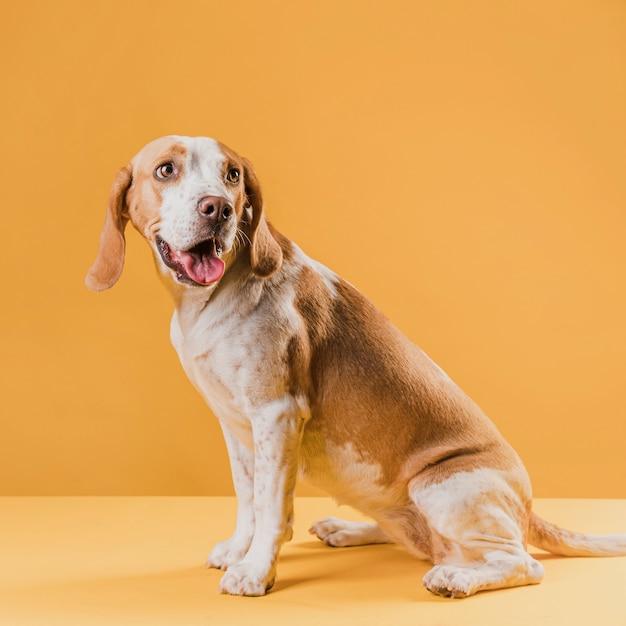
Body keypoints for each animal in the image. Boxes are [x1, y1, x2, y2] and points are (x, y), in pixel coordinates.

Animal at [84, 135, 624, 596]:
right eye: (166, 170)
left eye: (232, 175)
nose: (218, 208)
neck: (205, 302)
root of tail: (528, 508)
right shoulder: (235, 425)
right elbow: (247, 499)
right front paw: (240, 550)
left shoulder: (276, 415)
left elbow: (270, 508)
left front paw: (255, 572)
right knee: (415, 538)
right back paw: (346, 529)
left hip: (440, 486)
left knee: (519, 564)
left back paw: (456, 578)